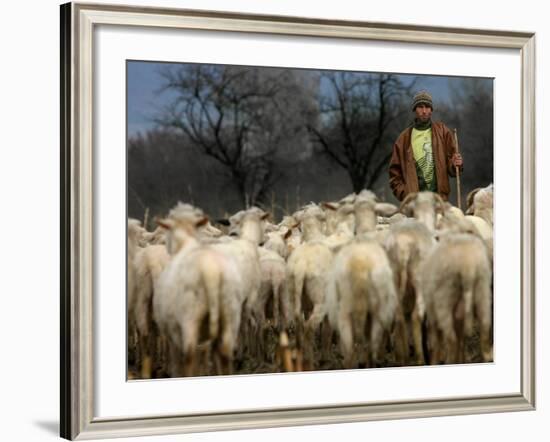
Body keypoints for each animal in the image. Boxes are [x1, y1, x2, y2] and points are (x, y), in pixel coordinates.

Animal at [418, 233, 496, 364]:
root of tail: (468, 266)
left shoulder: (433, 315)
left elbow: (436, 342)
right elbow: (461, 340)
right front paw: (462, 358)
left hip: (444, 301)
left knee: (451, 340)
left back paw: (449, 361)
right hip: (483, 294)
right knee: (485, 332)